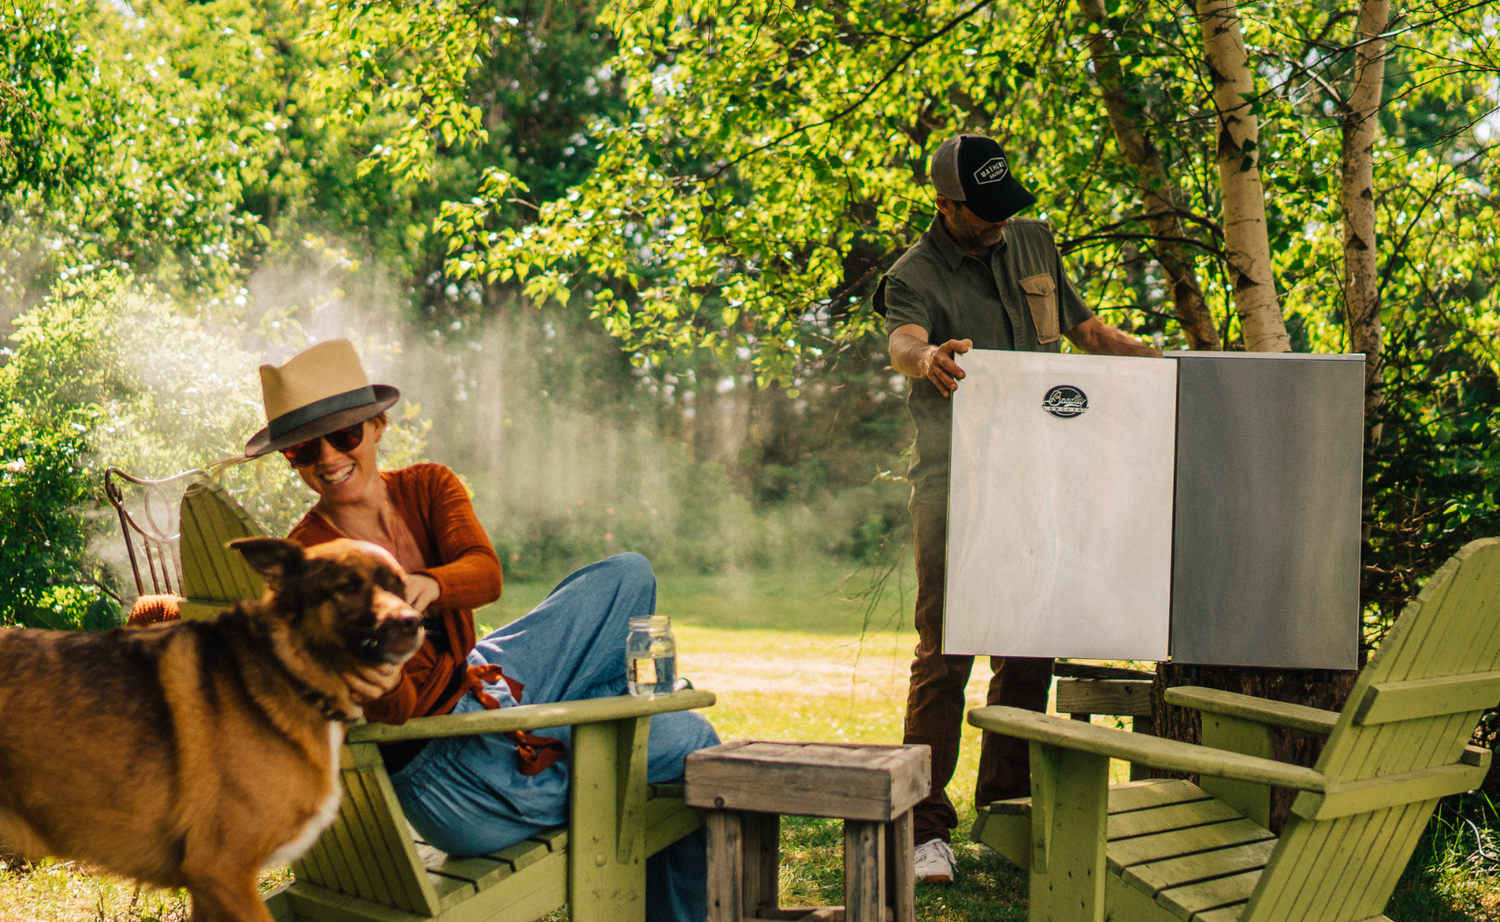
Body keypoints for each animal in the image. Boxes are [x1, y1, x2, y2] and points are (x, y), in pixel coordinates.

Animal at [0, 536, 423, 922]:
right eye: (348, 587)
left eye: (401, 587)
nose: (414, 623)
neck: (287, 668)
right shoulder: (222, 873)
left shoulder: (208, 890)